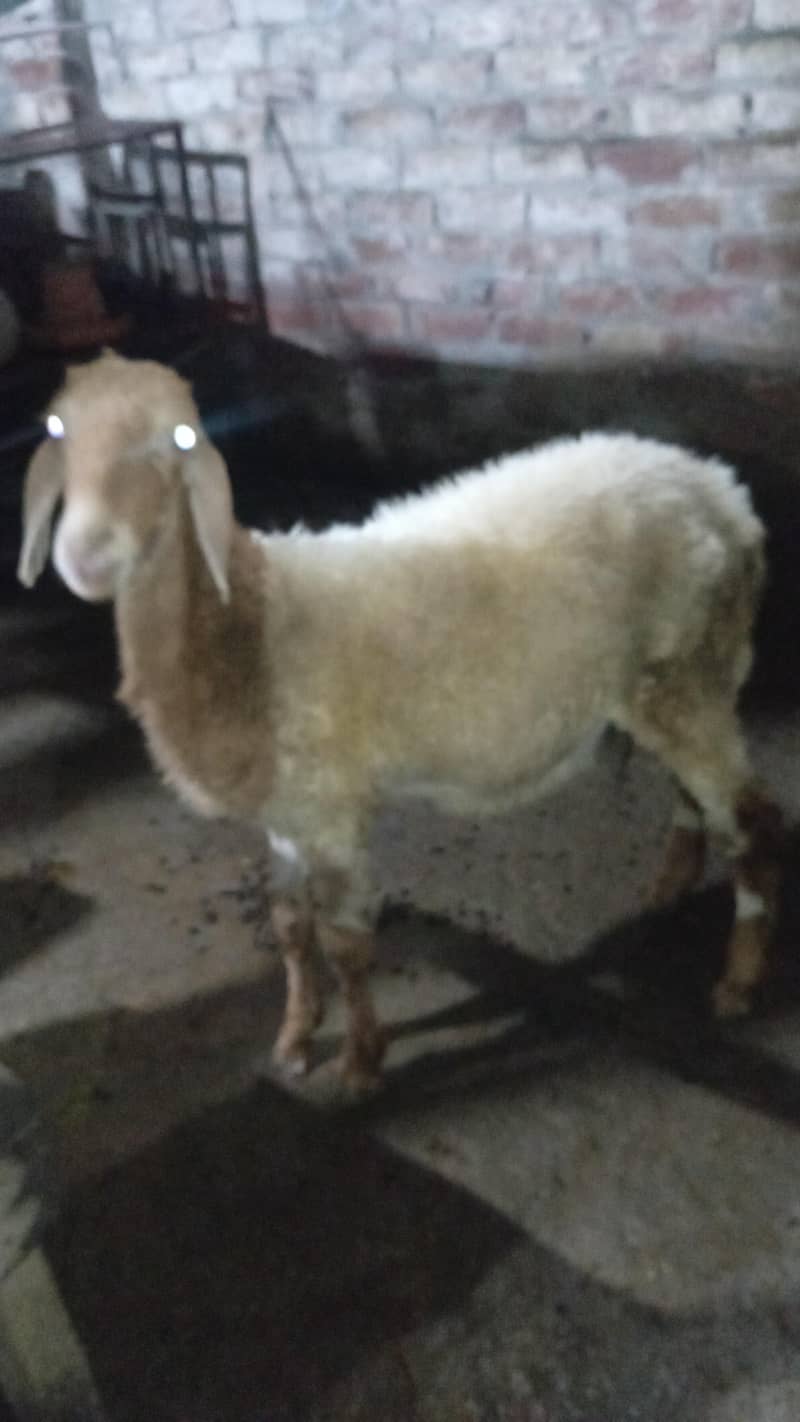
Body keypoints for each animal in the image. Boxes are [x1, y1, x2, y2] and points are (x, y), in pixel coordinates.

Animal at [18, 351, 783, 1094]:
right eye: (57, 432)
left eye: (175, 441)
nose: (86, 556)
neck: (254, 626)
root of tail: (723, 494)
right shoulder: (289, 812)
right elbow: (289, 926)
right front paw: (295, 1039)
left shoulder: (333, 809)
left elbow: (346, 943)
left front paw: (361, 1061)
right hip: (677, 683)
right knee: (696, 794)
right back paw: (672, 884)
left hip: (689, 672)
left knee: (751, 818)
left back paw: (739, 981)